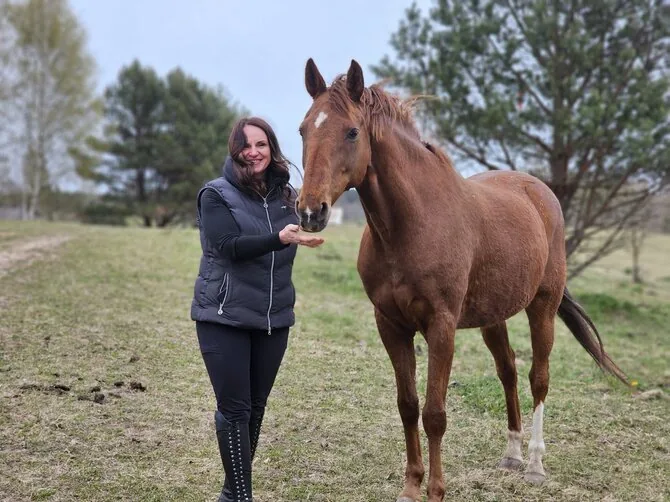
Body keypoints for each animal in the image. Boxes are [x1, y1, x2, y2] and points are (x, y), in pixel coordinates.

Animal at [295, 58, 628, 502]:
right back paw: (512, 455)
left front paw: (436, 489)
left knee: (538, 378)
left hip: (543, 306)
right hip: (494, 316)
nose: (310, 211)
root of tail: (539, 191)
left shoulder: (442, 325)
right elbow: (407, 405)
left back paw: (535, 464)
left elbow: (434, 413)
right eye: (303, 129)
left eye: (351, 131)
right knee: (508, 372)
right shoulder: (390, 325)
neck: (412, 223)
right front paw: (411, 486)